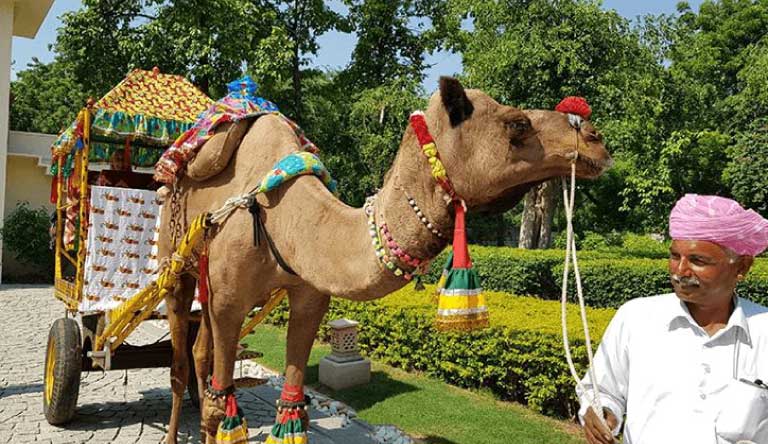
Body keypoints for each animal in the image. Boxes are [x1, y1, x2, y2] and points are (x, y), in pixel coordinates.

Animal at [158, 77, 611, 443]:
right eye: (517, 123)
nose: (595, 139)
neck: (285, 216)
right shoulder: (231, 299)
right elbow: (221, 401)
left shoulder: (308, 297)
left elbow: (291, 405)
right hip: (176, 262)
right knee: (181, 362)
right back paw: (172, 434)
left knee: (200, 352)